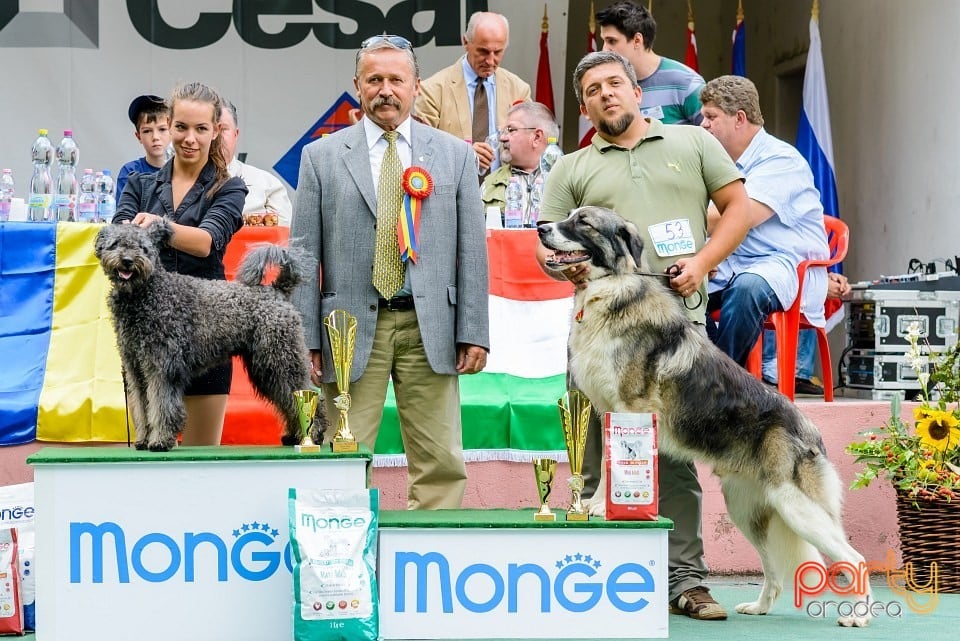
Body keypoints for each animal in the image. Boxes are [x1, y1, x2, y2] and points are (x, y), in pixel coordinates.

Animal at [94, 220, 326, 450]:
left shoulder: (162, 368)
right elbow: (143, 408)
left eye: (143, 248)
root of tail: (277, 291)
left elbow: (161, 406)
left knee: (305, 393)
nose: (127, 261)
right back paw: (295, 436)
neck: (148, 293)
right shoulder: (136, 369)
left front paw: (160, 440)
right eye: (116, 244)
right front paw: (143, 439)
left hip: (280, 360)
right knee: (289, 399)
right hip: (266, 367)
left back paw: (313, 434)